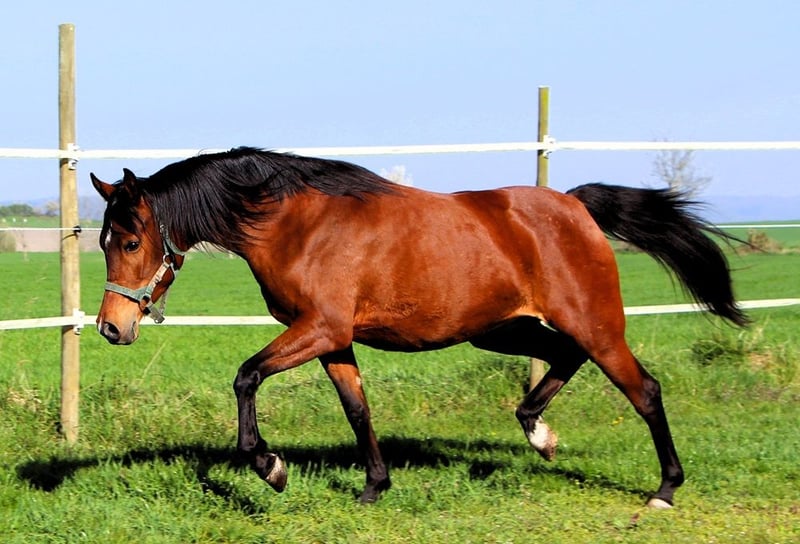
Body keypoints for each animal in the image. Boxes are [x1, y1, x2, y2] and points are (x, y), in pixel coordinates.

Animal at [90, 147, 748, 508]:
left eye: (130, 241)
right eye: (101, 242)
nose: (110, 328)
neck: (296, 225)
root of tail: (575, 205)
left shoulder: (318, 328)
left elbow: (246, 377)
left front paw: (271, 469)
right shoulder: (333, 340)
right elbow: (358, 410)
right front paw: (373, 487)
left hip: (596, 323)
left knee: (644, 390)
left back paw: (664, 489)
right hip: (501, 328)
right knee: (564, 358)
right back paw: (539, 435)